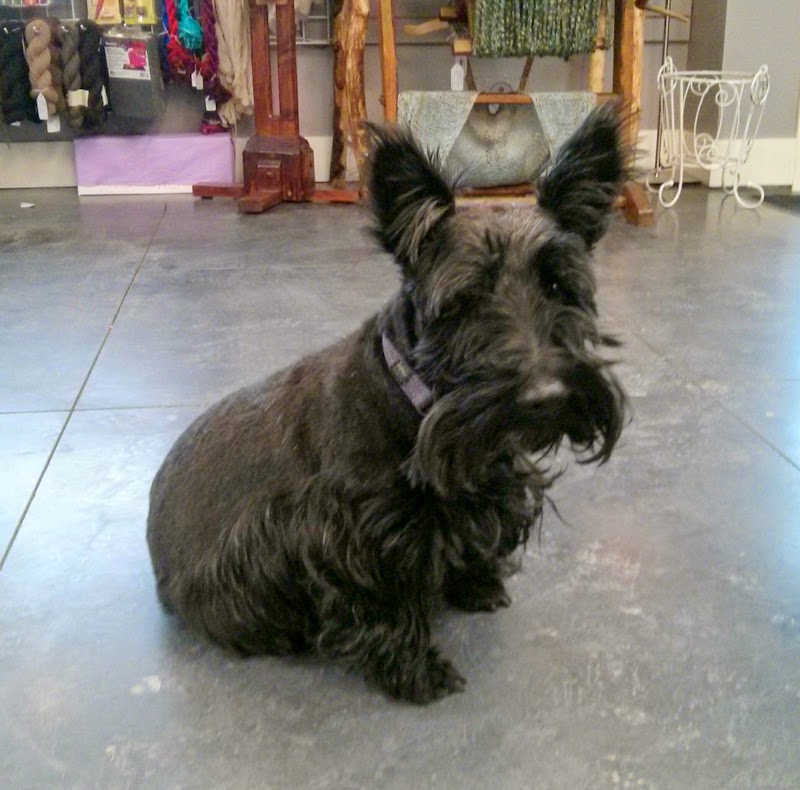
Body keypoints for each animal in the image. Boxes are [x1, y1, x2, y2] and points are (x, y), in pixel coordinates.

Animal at [147, 103, 627, 704]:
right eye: (465, 301)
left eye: (561, 287)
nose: (545, 397)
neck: (418, 404)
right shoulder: (356, 537)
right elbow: (382, 605)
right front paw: (417, 669)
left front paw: (476, 585)